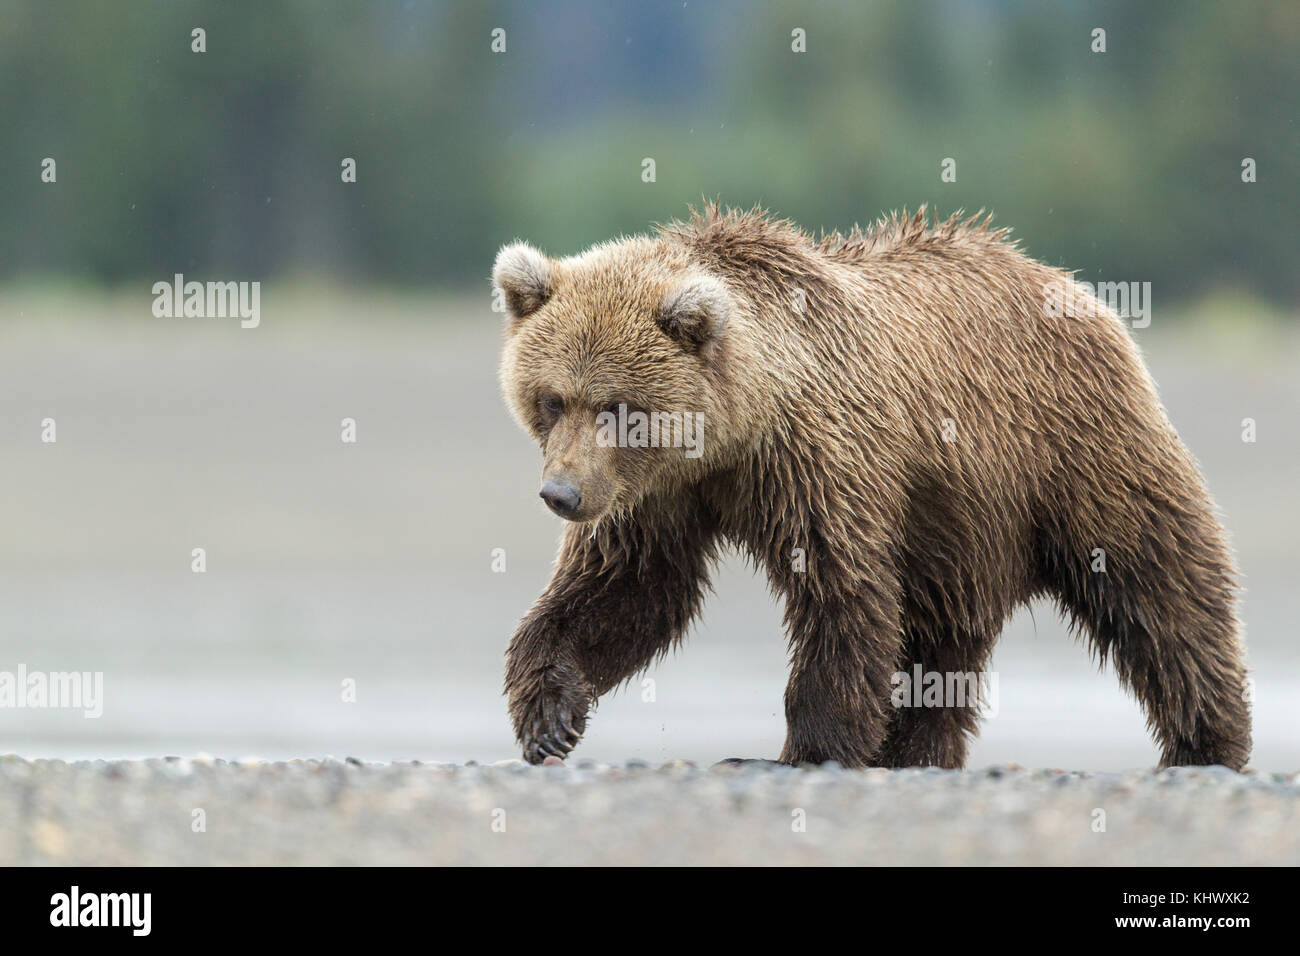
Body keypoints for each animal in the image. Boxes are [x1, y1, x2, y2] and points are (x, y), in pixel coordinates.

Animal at [491, 201, 1253, 770]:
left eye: (618, 407)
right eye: (552, 399)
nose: (561, 495)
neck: (733, 437)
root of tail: (1075, 287)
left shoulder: (818, 460)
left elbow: (842, 592)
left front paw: (807, 747)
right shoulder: (657, 496)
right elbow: (629, 589)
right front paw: (550, 714)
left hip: (1079, 451)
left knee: (1157, 582)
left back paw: (1207, 741)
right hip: (959, 527)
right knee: (943, 642)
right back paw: (919, 750)